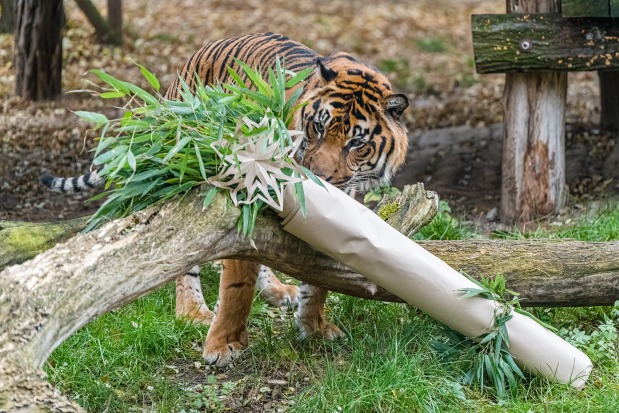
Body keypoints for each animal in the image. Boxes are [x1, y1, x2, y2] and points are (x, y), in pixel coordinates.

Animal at [43, 33, 412, 366]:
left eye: (356, 143)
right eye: (318, 128)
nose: (317, 177)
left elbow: (317, 277)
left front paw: (314, 328)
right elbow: (238, 282)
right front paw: (224, 345)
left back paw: (278, 291)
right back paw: (192, 312)